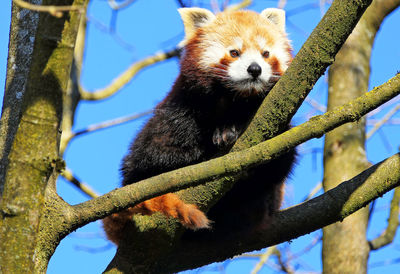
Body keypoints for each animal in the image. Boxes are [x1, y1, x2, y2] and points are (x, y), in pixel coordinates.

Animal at [104, 6, 294, 244]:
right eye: (234, 52)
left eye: (265, 53)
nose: (255, 69)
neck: (231, 99)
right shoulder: (178, 112)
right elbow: (155, 156)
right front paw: (208, 148)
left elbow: (280, 162)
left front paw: (228, 132)